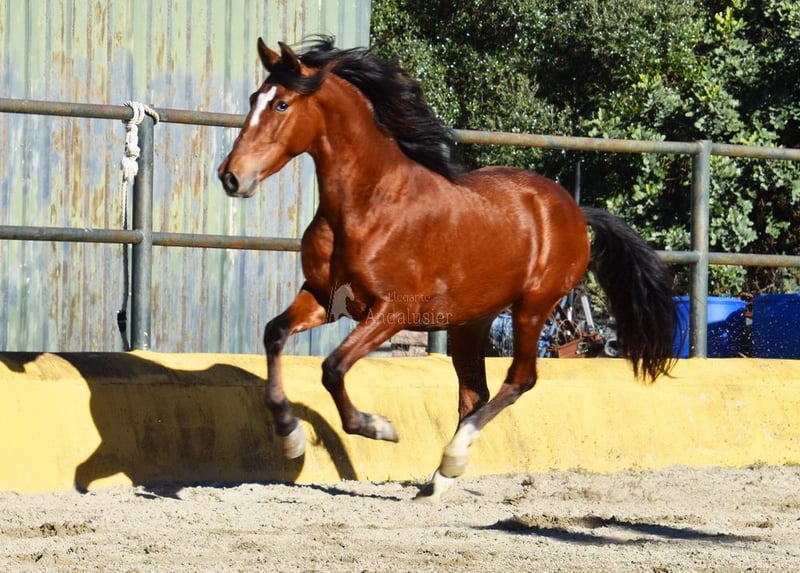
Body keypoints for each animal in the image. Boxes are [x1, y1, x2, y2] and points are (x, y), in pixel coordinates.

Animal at [217, 37, 677, 500]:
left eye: (282, 105)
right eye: (255, 99)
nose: (230, 177)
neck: (368, 204)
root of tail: (576, 211)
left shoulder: (393, 310)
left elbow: (333, 369)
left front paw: (378, 427)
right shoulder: (323, 299)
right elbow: (274, 334)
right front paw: (290, 436)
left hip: (532, 308)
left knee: (520, 379)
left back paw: (452, 458)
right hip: (471, 322)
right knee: (475, 392)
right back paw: (439, 478)